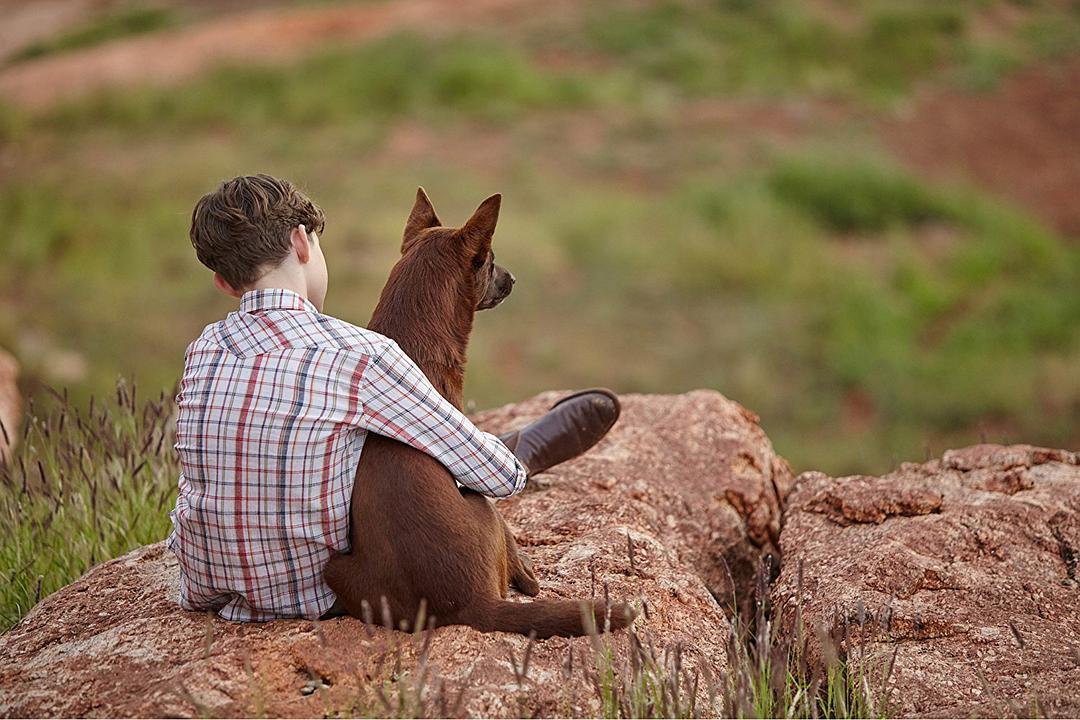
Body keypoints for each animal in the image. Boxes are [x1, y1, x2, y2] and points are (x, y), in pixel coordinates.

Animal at [324, 189, 635, 634]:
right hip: (482, 505)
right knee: (522, 570)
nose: (514, 278)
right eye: (490, 259)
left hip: (334, 567)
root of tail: (468, 605)